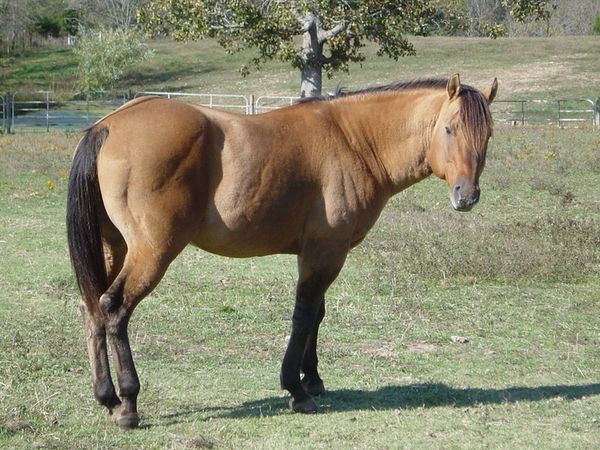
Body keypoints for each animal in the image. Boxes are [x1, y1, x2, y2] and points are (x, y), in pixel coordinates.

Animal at [67, 73, 497, 429]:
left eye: (488, 134)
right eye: (448, 128)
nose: (467, 196)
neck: (354, 140)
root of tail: (108, 124)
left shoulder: (316, 252)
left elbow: (316, 314)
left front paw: (314, 378)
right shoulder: (326, 251)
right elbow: (303, 315)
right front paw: (297, 389)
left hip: (112, 247)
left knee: (92, 309)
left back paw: (106, 397)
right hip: (152, 252)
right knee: (114, 309)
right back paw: (128, 403)